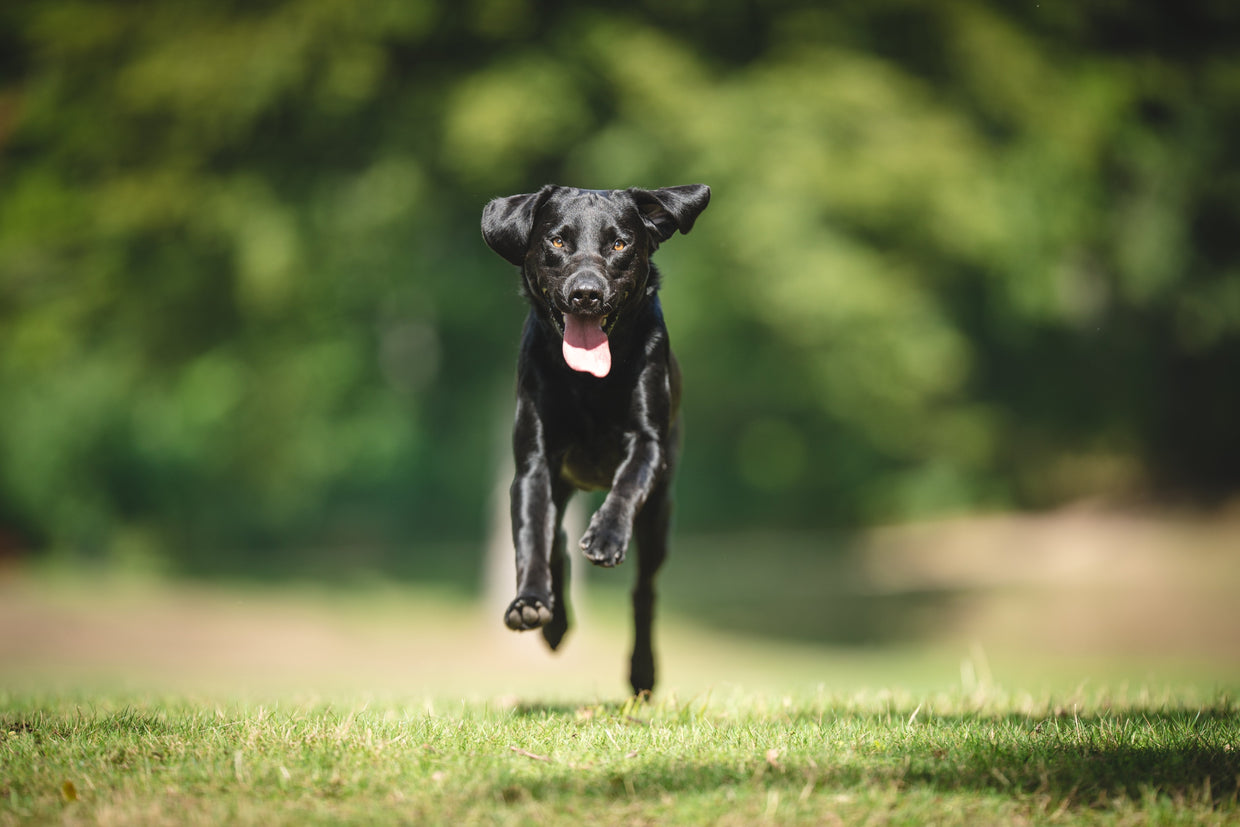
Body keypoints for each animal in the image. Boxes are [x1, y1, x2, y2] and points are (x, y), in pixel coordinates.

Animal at [481, 184, 714, 694]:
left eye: (620, 244)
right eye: (557, 240)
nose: (586, 294)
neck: (589, 382)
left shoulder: (648, 442)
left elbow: (627, 484)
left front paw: (605, 536)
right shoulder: (533, 464)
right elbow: (531, 538)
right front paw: (530, 603)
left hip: (659, 517)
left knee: (644, 592)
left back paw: (642, 672)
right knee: (554, 543)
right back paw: (554, 622)